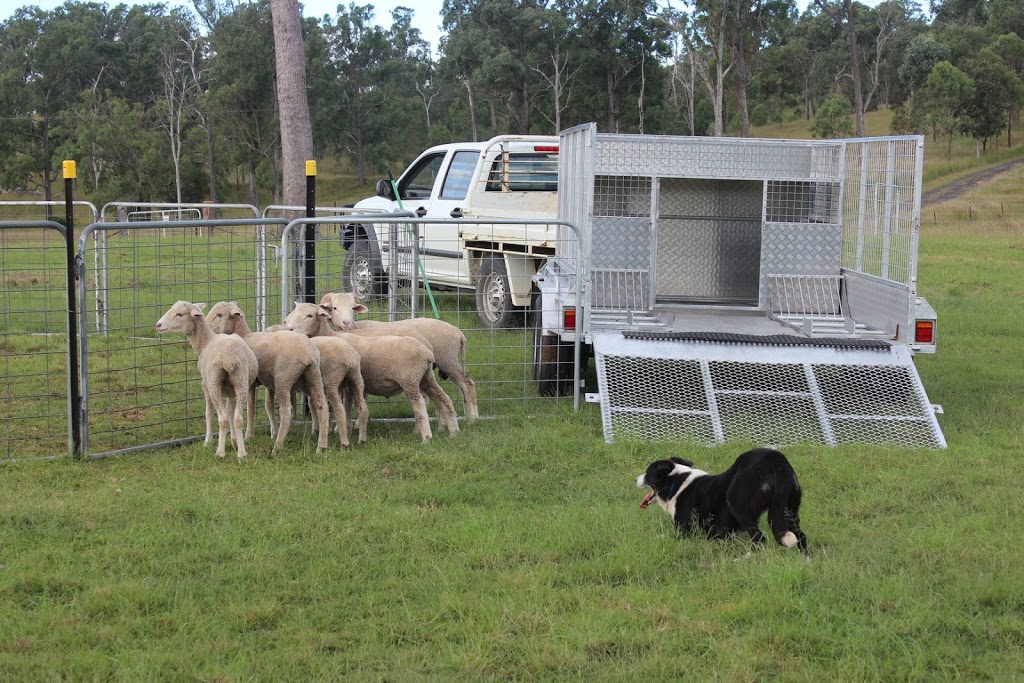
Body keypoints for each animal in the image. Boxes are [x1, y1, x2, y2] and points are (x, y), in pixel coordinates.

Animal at [156, 301, 260, 456]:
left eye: (180, 314)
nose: (158, 325)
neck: (205, 341)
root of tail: (228, 358)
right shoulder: (231, 392)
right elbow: (230, 412)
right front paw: (234, 440)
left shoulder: (204, 385)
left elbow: (209, 413)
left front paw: (207, 441)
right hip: (241, 381)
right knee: (238, 419)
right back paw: (242, 453)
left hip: (214, 383)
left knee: (222, 419)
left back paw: (220, 452)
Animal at [200, 303, 325, 454]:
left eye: (219, 314)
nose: (206, 325)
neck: (245, 336)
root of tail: (307, 353)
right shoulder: (268, 382)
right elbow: (268, 405)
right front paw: (273, 432)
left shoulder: (251, 383)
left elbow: (251, 407)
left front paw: (249, 435)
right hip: (314, 374)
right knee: (322, 406)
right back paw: (321, 446)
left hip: (283, 378)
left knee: (286, 410)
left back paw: (277, 447)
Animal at [280, 301, 456, 440]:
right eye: (293, 314)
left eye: (309, 315)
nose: (289, 329)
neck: (329, 336)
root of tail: (427, 351)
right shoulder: (348, 384)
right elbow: (344, 406)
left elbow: (342, 406)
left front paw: (340, 429)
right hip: (426, 378)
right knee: (443, 398)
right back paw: (453, 430)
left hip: (410, 380)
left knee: (421, 404)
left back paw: (425, 435)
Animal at [319, 290, 479, 419]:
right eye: (334, 308)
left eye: (353, 307)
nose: (346, 322)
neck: (355, 327)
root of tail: (458, 333)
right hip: (447, 360)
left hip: (447, 359)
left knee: (467, 384)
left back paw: (473, 417)